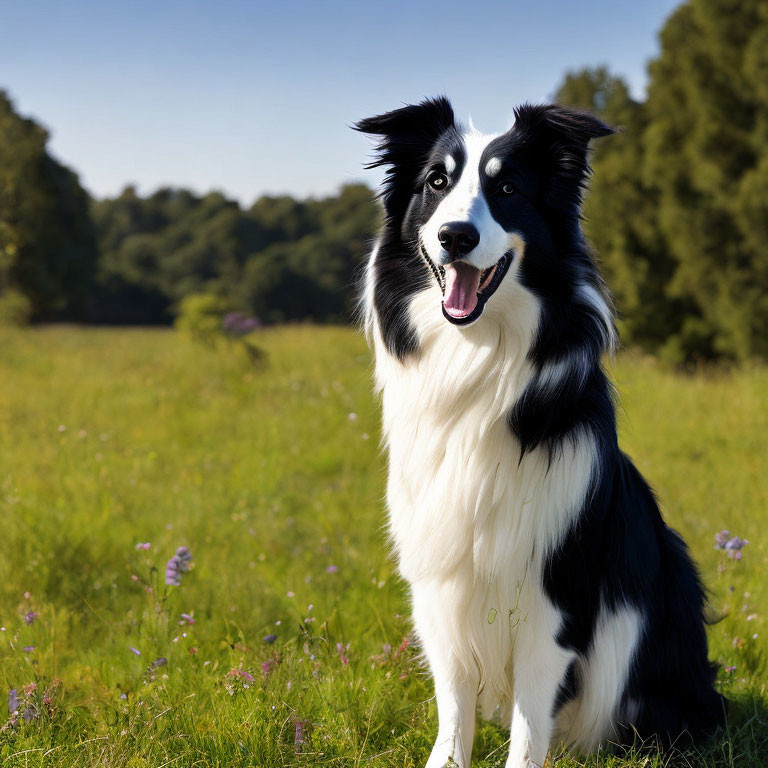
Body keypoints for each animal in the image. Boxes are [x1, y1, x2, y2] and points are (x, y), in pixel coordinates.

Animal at [356, 97, 724, 768]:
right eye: (436, 182)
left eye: (508, 189)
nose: (456, 236)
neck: (477, 362)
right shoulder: (444, 582)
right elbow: (454, 707)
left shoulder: (554, 597)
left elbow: (530, 727)